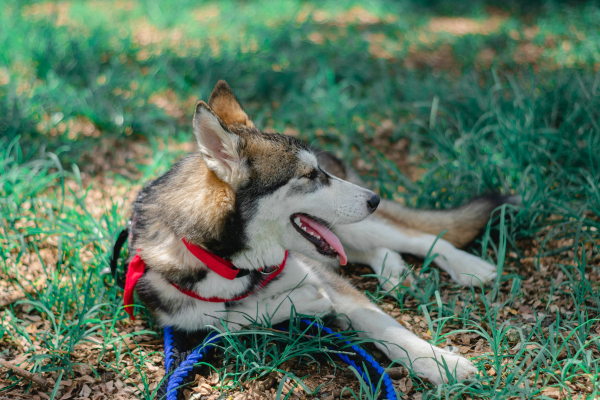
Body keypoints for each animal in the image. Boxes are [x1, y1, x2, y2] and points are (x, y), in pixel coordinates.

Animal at [125, 80, 510, 384]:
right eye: (309, 176)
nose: (374, 198)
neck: (236, 267)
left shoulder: (332, 284)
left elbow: (387, 327)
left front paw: (440, 364)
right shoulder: (184, 317)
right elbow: (229, 320)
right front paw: (299, 302)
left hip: (355, 227)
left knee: (420, 237)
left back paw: (469, 267)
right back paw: (394, 273)